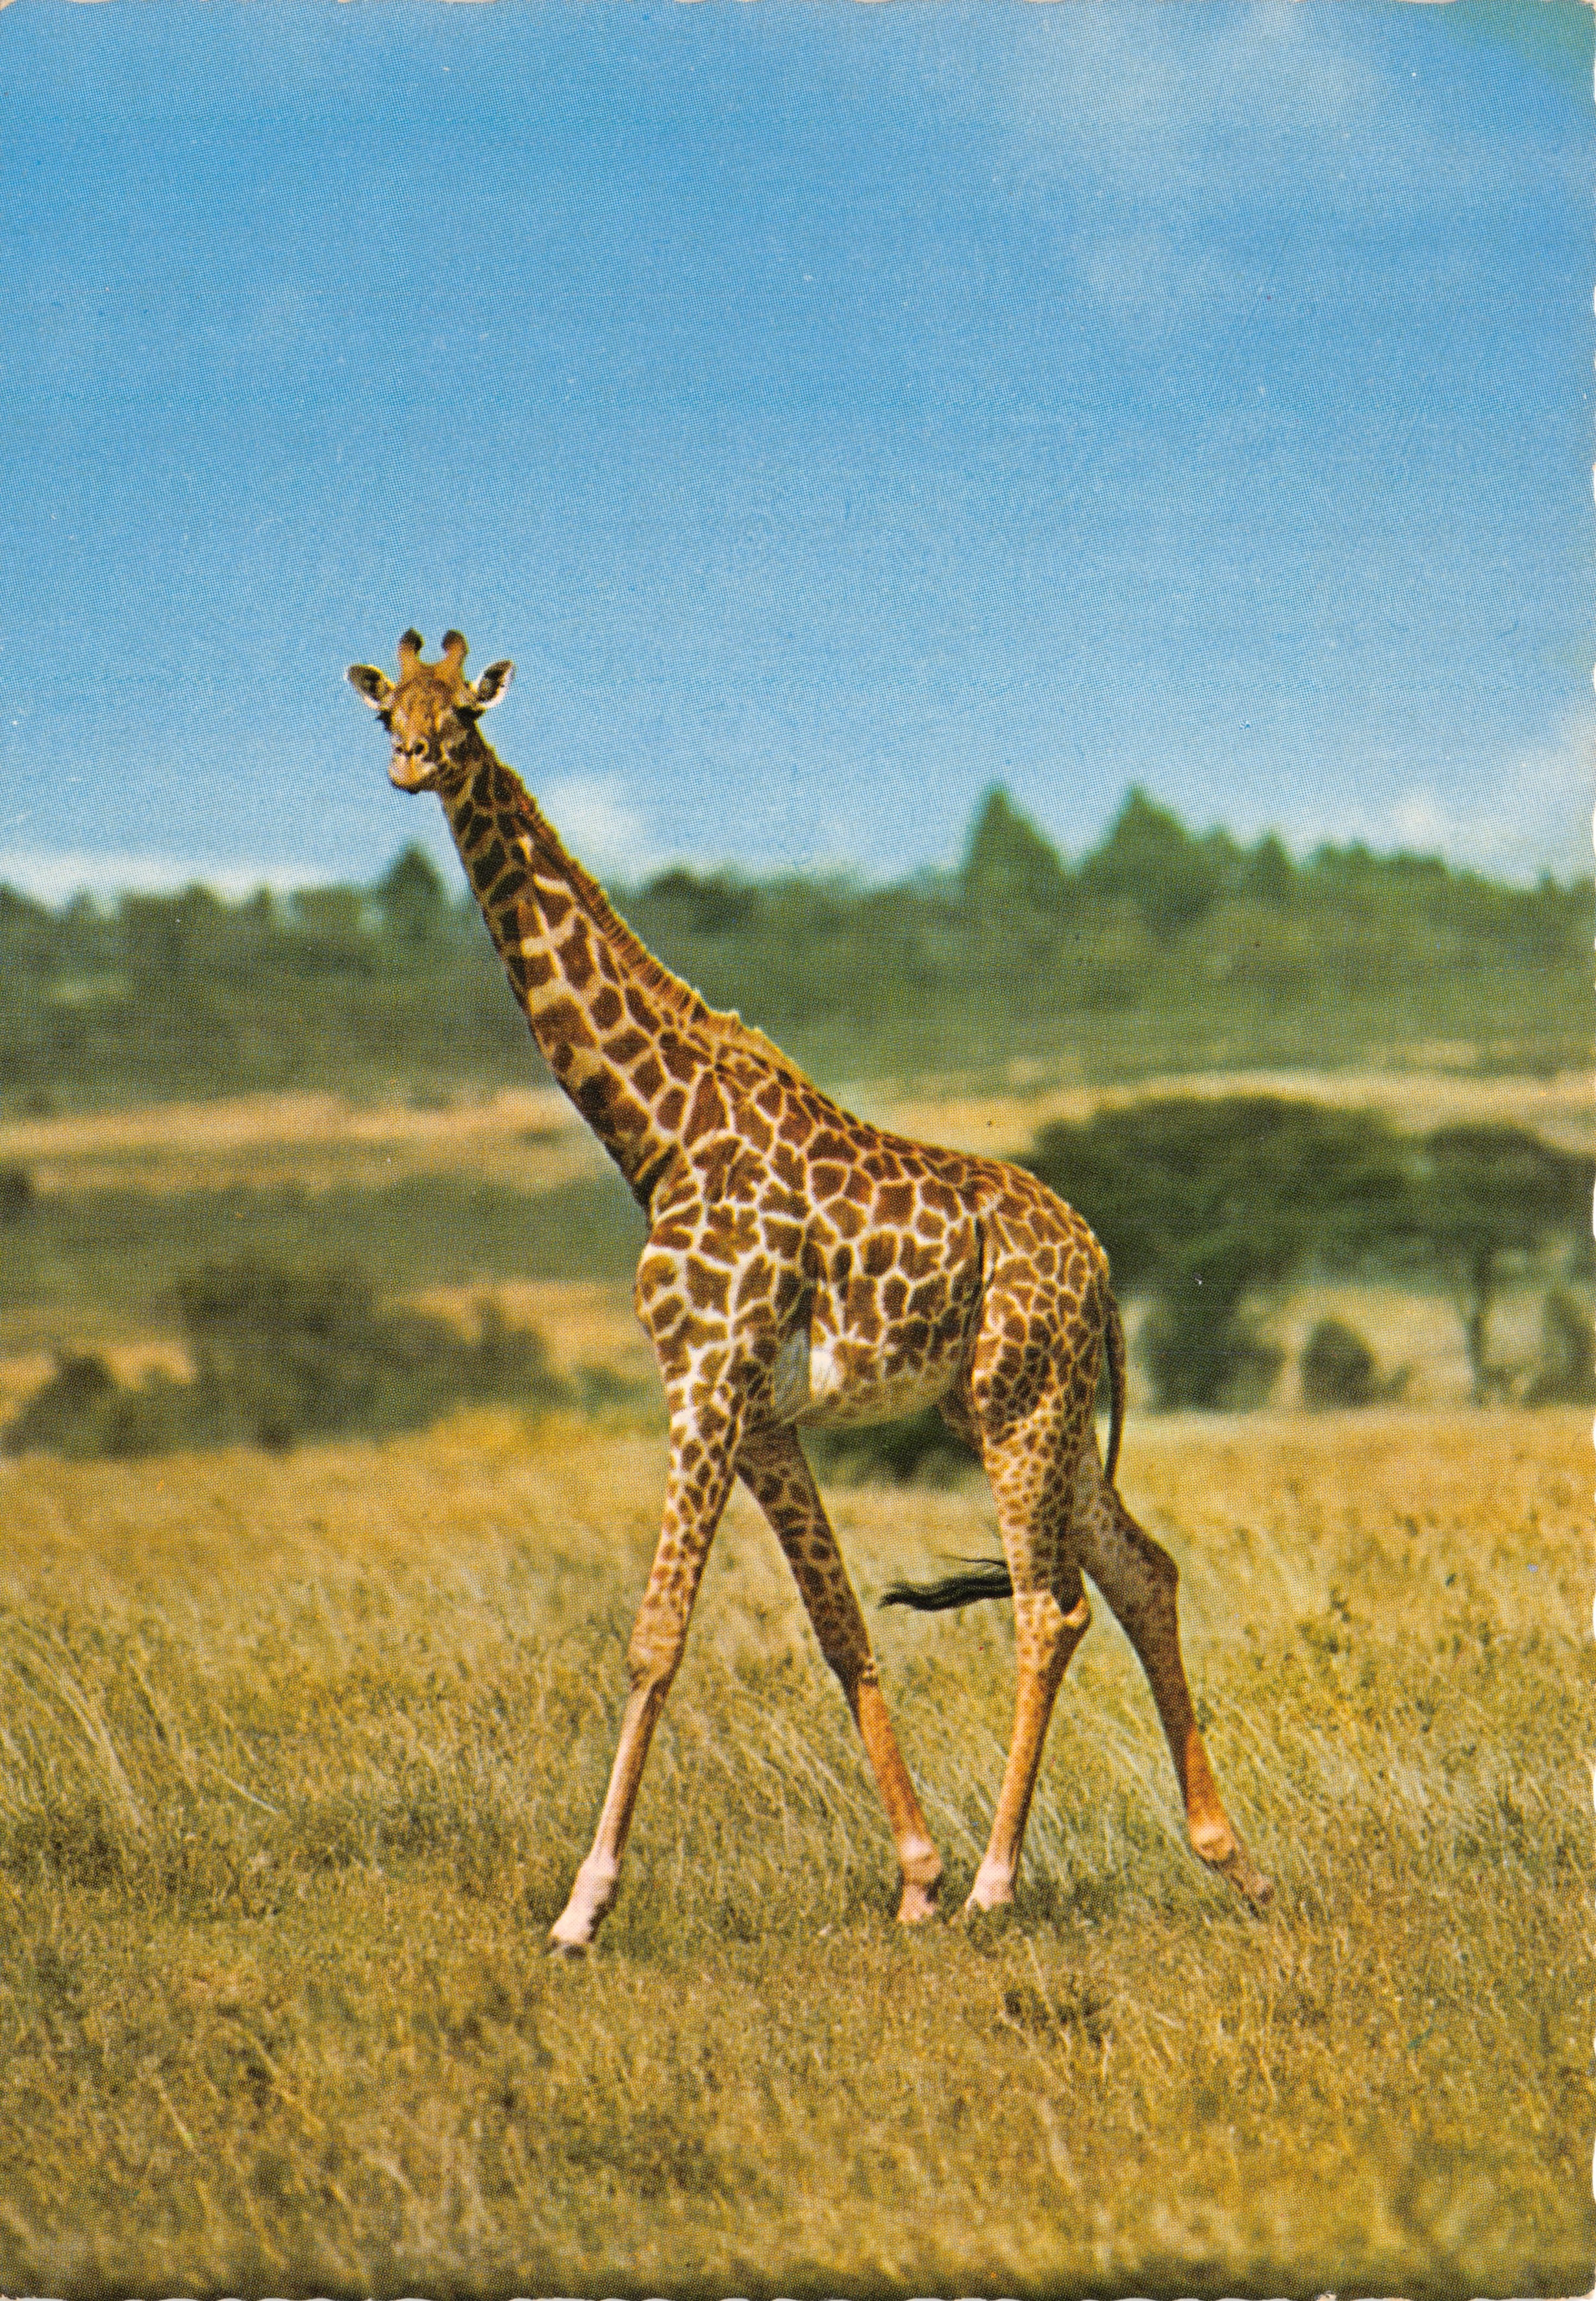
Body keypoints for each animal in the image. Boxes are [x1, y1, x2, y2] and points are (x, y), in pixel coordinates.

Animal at [347, 631, 1272, 1950]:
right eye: (391, 710)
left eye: (466, 714)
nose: (412, 763)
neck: (657, 1133)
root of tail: (1096, 1260)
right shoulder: (760, 1414)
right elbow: (836, 1625)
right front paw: (915, 1874)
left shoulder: (702, 1381)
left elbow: (652, 1639)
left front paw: (583, 1906)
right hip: (1026, 1409)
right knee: (1142, 1571)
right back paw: (1230, 1860)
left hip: (1019, 1407)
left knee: (1048, 1609)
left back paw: (1002, 1880)